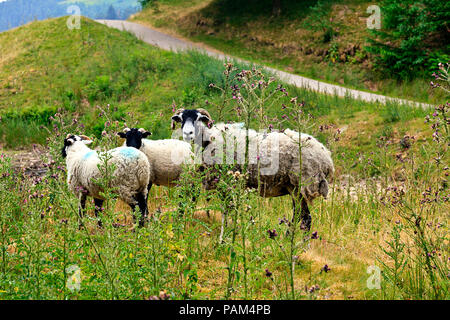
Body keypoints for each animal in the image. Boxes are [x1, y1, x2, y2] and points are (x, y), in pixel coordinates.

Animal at [172, 108, 334, 240]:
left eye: (198, 118)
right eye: (181, 118)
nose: (188, 133)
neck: (209, 140)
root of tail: (327, 158)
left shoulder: (228, 181)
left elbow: (227, 210)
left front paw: (225, 236)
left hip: (303, 184)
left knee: (306, 218)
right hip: (293, 187)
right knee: (300, 215)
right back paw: (288, 239)